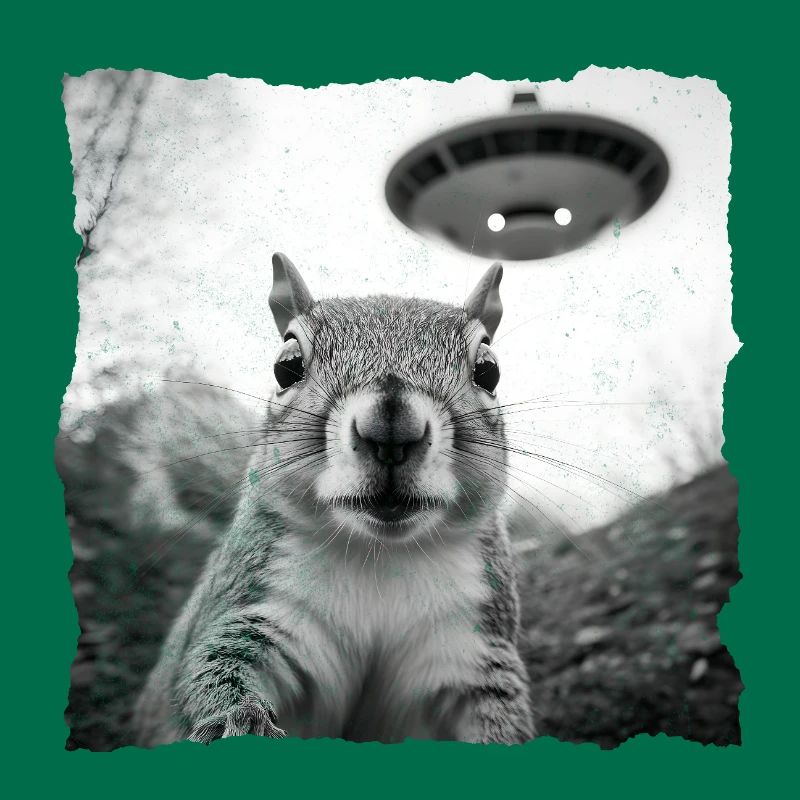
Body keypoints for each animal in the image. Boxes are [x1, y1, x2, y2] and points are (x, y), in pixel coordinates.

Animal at [133, 252, 535, 746]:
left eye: (488, 370)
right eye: (286, 366)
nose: (391, 428)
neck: (381, 554)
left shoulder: (470, 646)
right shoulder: (259, 608)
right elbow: (215, 666)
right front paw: (238, 722)